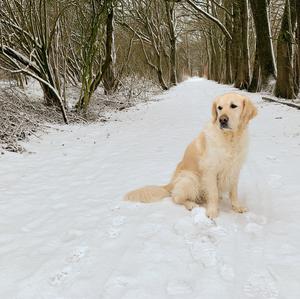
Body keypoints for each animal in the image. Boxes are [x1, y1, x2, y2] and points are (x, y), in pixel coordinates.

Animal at [123, 92, 256, 219]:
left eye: (233, 106)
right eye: (219, 108)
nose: (222, 120)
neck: (230, 139)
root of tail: (170, 184)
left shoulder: (234, 169)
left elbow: (233, 192)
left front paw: (237, 207)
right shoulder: (210, 170)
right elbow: (213, 193)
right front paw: (212, 211)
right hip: (190, 178)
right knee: (176, 198)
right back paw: (191, 204)